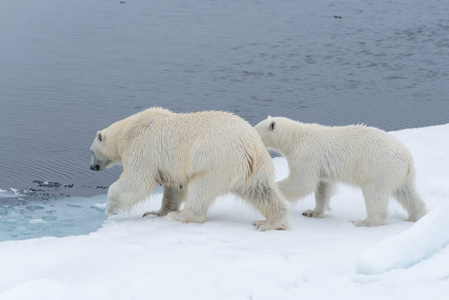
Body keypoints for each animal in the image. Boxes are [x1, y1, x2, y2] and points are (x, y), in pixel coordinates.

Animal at [89, 108, 288, 232]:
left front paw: (109, 207)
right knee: (261, 191)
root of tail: (249, 146)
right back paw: (270, 222)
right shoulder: (169, 166)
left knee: (201, 189)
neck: (126, 132)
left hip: (213, 160)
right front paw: (155, 212)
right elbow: (174, 187)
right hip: (253, 167)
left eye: (91, 151)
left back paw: (181, 215)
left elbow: (136, 181)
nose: (91, 167)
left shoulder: (142, 149)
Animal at [254, 116, 426, 226]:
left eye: (256, 130)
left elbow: (302, 183)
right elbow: (322, 187)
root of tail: (407, 159)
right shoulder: (321, 167)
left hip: (379, 168)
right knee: (407, 193)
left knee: (374, 193)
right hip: (400, 174)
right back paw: (415, 216)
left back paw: (365, 222)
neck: (296, 137)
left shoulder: (305, 156)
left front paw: (273, 187)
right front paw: (312, 212)